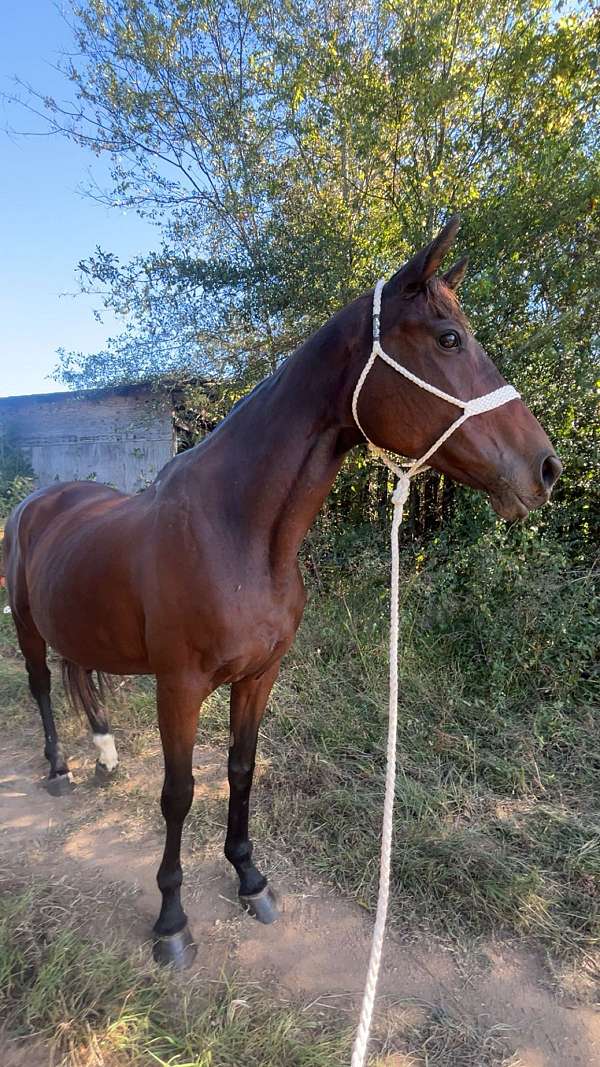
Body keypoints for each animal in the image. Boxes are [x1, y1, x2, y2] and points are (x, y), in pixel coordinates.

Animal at [3, 217, 561, 966]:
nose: (546, 468)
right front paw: (171, 921)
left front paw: (250, 878)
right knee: (41, 685)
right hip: (28, 626)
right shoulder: (179, 685)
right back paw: (61, 768)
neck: (237, 534)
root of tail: (38, 502)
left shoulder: (260, 674)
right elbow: (179, 792)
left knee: (79, 675)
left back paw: (105, 757)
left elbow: (241, 769)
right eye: (449, 338)